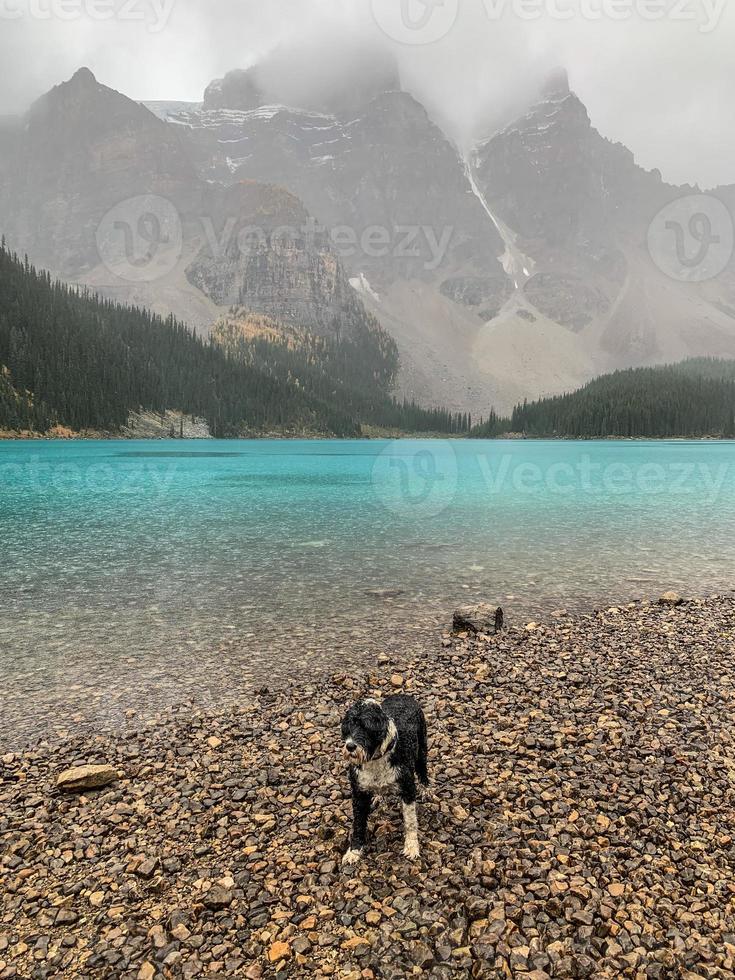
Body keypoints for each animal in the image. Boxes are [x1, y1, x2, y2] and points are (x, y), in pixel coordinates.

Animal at [340, 696, 428, 864]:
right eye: (349, 726)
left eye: (366, 727)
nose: (350, 746)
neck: (376, 759)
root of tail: (403, 696)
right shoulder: (359, 793)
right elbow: (358, 823)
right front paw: (354, 851)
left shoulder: (408, 788)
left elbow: (410, 821)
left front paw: (411, 846)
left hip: (421, 748)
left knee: (423, 770)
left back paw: (426, 789)